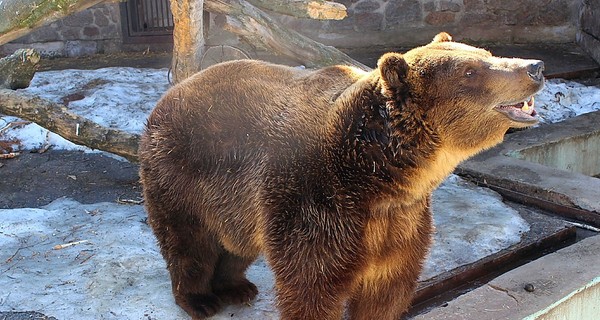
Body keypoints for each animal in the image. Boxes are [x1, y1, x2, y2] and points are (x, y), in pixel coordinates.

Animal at [138, 33, 548, 320]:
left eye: (486, 54)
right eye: (470, 71)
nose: (535, 67)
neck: (378, 176)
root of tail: (169, 95)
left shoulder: (399, 220)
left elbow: (388, 288)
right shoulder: (316, 203)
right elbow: (312, 286)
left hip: (234, 200)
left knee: (237, 246)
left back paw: (238, 287)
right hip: (181, 170)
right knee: (188, 242)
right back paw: (200, 299)